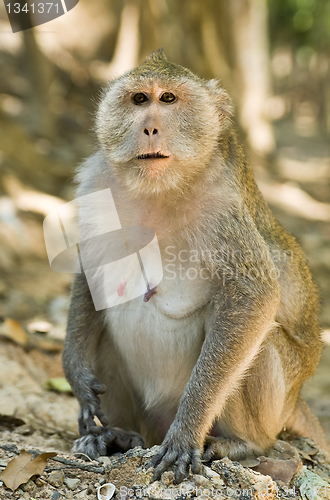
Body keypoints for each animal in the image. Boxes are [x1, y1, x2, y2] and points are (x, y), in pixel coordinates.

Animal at [61, 49, 328, 480]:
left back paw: (242, 443)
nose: (150, 127)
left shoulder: (223, 209)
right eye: (139, 100)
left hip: (275, 407)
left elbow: (252, 298)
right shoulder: (95, 183)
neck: (160, 187)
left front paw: (187, 432)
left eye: (168, 99)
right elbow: (92, 272)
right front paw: (76, 375)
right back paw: (115, 436)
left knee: (262, 339)